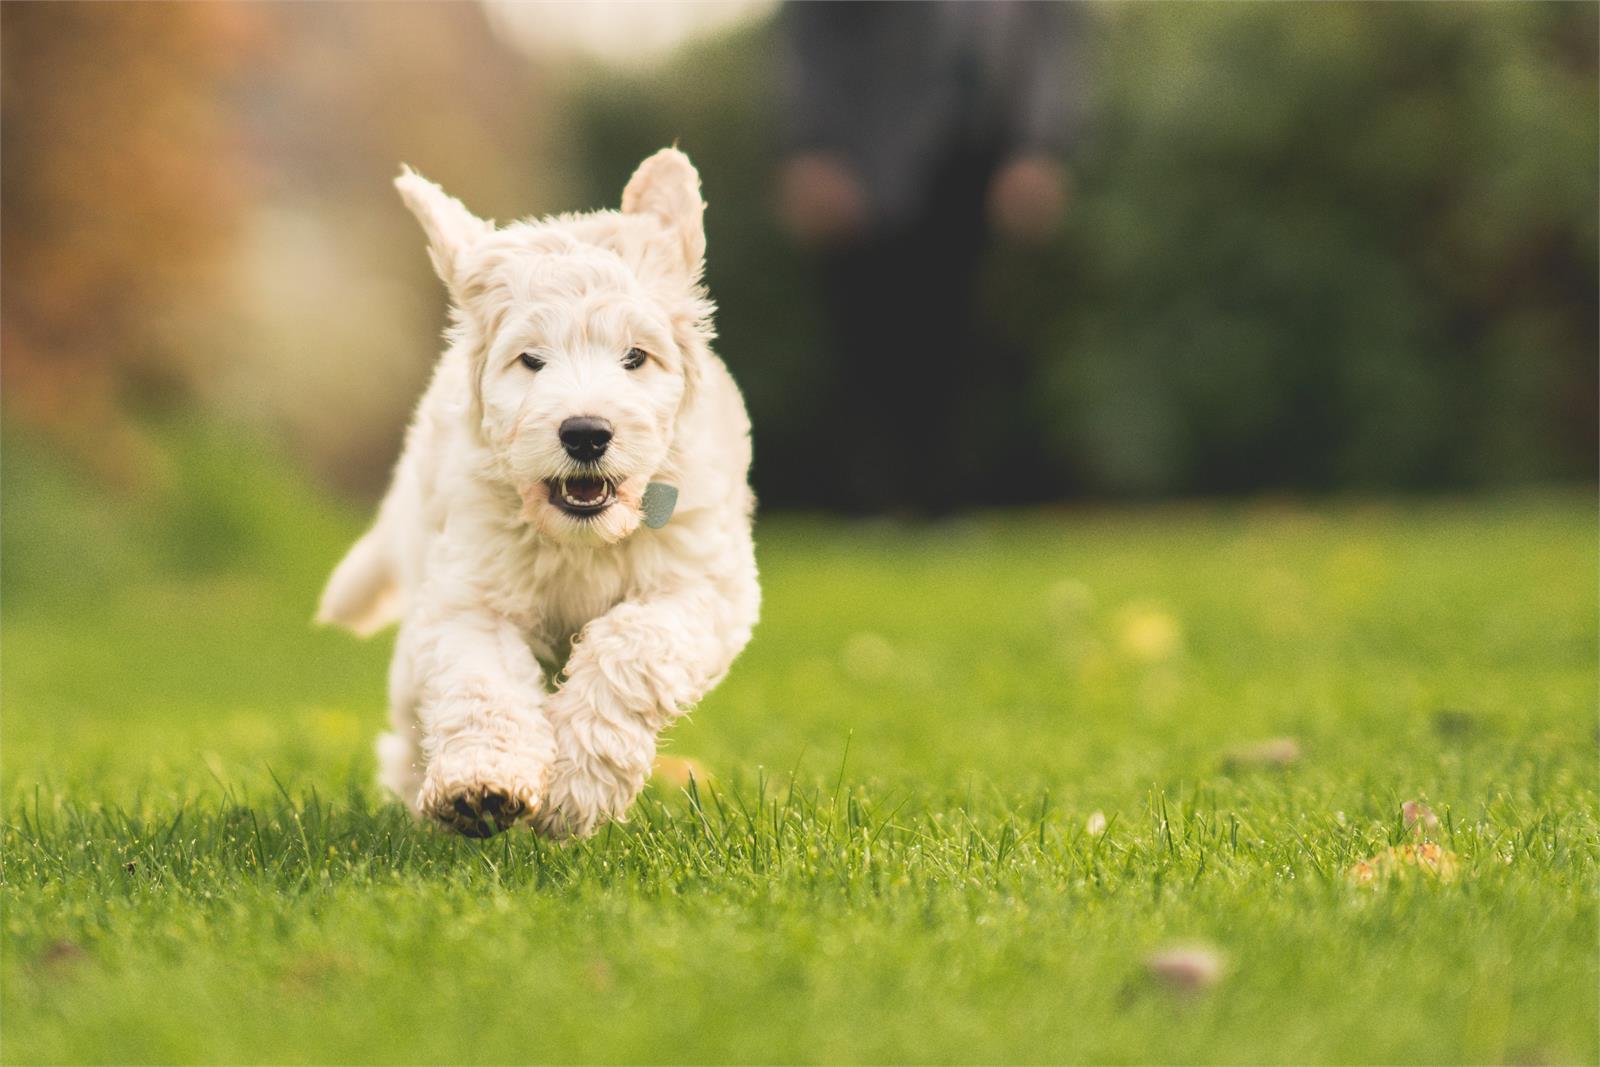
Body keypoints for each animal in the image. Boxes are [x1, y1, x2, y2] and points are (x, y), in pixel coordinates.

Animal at [318, 150, 761, 838]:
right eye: (530, 360)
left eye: (635, 356)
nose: (586, 433)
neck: (580, 537)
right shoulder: (470, 597)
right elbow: (482, 685)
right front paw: (481, 784)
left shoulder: (701, 588)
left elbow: (630, 647)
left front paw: (578, 784)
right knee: (409, 717)